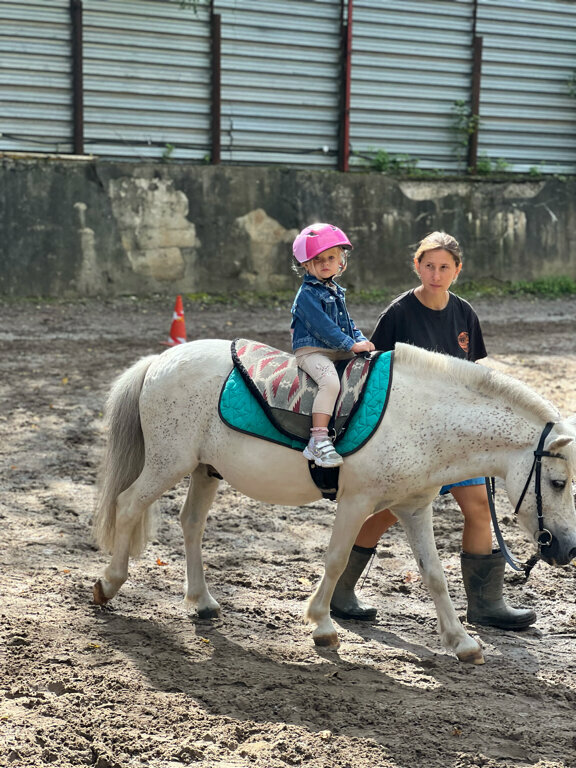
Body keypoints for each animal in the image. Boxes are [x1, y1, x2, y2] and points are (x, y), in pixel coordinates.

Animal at [91, 340, 576, 664]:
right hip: (167, 464)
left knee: (191, 523)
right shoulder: (356, 501)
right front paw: (323, 626)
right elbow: (337, 558)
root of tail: (160, 360)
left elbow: (434, 575)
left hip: (204, 470)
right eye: (556, 482)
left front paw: (462, 642)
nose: (567, 549)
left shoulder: (413, 508)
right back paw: (108, 584)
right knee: (129, 505)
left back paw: (202, 601)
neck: (417, 416)